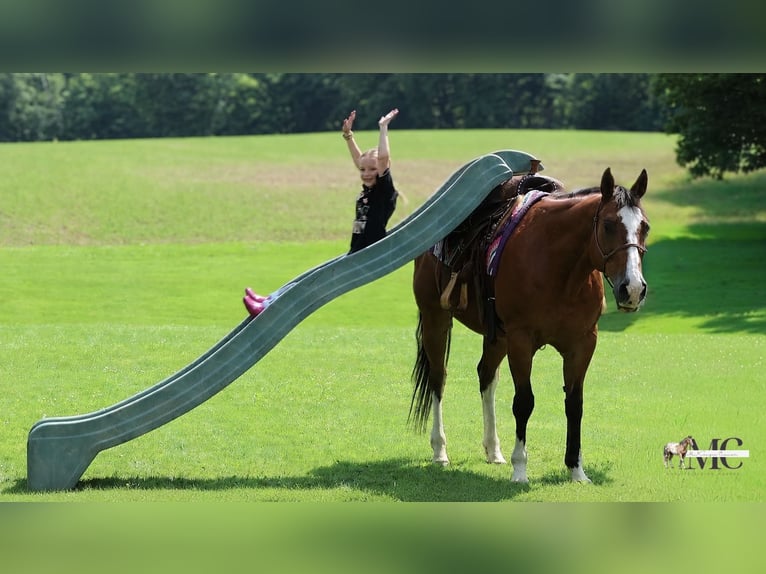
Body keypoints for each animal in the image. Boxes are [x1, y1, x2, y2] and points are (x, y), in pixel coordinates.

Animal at [410, 167, 649, 482]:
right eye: (609, 225)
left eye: (645, 227)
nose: (632, 289)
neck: (560, 269)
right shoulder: (521, 341)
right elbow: (524, 402)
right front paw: (520, 468)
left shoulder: (583, 343)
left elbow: (575, 404)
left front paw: (576, 469)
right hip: (436, 318)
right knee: (439, 378)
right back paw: (440, 451)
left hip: (496, 336)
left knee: (486, 376)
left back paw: (493, 450)